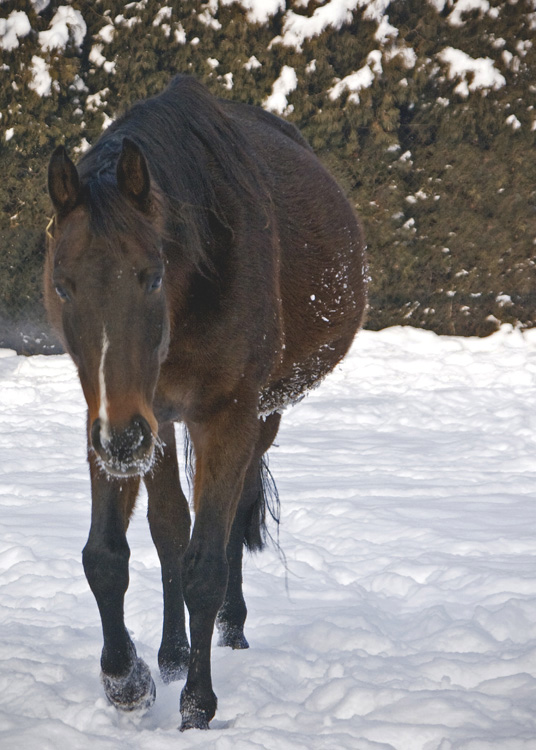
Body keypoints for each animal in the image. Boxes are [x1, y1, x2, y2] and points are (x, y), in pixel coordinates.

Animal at [44, 76, 366, 736]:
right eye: (63, 284)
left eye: (151, 275)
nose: (124, 440)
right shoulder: (110, 418)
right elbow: (108, 556)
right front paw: (129, 681)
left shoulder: (224, 415)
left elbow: (206, 566)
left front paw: (196, 707)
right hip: (157, 426)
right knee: (171, 528)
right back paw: (171, 654)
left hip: (251, 416)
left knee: (232, 517)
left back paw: (230, 632)